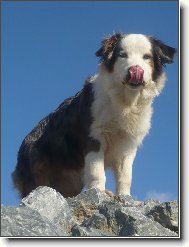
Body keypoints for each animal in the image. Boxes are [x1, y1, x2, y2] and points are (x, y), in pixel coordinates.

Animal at [12, 32, 176, 199]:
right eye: (122, 55)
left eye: (146, 57)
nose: (135, 69)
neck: (125, 101)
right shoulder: (94, 137)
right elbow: (96, 170)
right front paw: (99, 191)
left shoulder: (127, 145)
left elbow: (125, 175)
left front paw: (125, 197)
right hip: (37, 176)